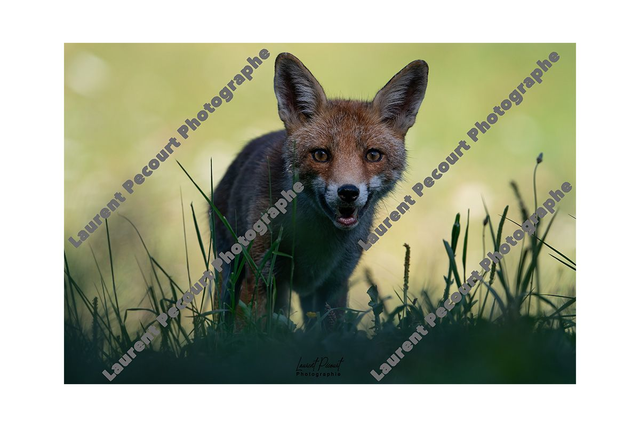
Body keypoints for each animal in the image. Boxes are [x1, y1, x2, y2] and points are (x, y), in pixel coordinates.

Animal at [211, 52, 428, 327]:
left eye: (373, 155)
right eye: (321, 155)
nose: (348, 192)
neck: (316, 240)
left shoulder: (335, 283)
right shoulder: (259, 274)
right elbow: (248, 328)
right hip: (232, 273)